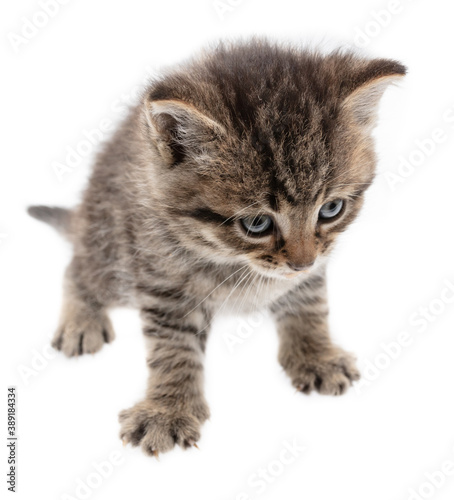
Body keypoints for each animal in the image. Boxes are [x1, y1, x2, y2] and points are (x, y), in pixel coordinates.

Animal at [27, 40, 404, 458]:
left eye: (331, 209)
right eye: (256, 224)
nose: (301, 262)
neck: (230, 258)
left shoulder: (314, 265)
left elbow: (310, 302)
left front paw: (315, 354)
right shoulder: (162, 279)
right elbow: (173, 347)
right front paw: (168, 410)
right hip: (113, 251)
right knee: (78, 266)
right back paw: (81, 321)